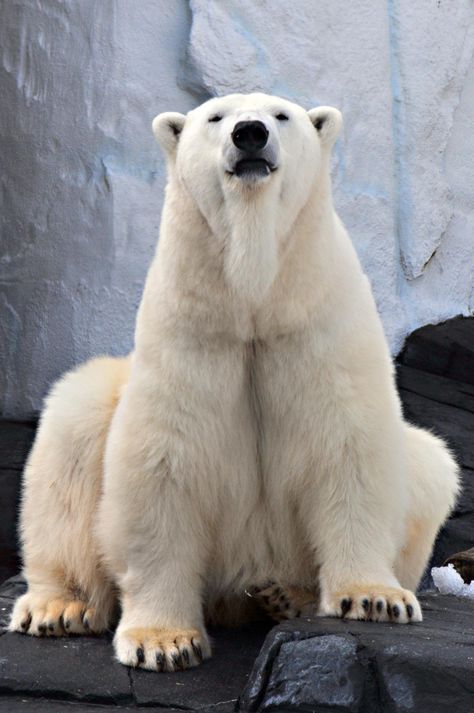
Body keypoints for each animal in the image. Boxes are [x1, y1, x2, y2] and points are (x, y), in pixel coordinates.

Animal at [8, 92, 460, 672]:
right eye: (215, 117)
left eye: (282, 115)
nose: (250, 133)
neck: (253, 301)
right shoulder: (191, 333)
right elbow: (163, 468)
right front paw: (165, 643)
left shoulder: (317, 324)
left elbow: (348, 446)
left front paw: (375, 598)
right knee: (72, 430)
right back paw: (59, 607)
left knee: (431, 459)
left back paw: (285, 594)